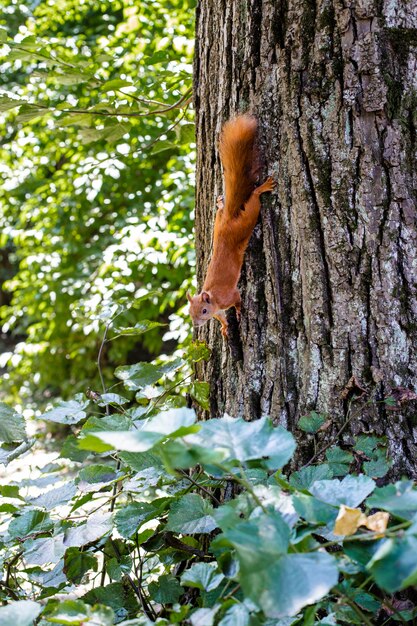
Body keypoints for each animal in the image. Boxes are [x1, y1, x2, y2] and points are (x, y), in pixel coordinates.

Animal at [187, 113, 274, 336]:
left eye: (204, 310)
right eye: (190, 312)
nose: (196, 325)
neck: (214, 299)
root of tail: (228, 221)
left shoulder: (229, 296)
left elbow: (237, 301)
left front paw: (240, 311)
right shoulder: (218, 311)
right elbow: (221, 318)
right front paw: (225, 327)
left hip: (246, 221)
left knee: (253, 199)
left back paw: (262, 188)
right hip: (218, 224)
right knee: (220, 212)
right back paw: (220, 203)